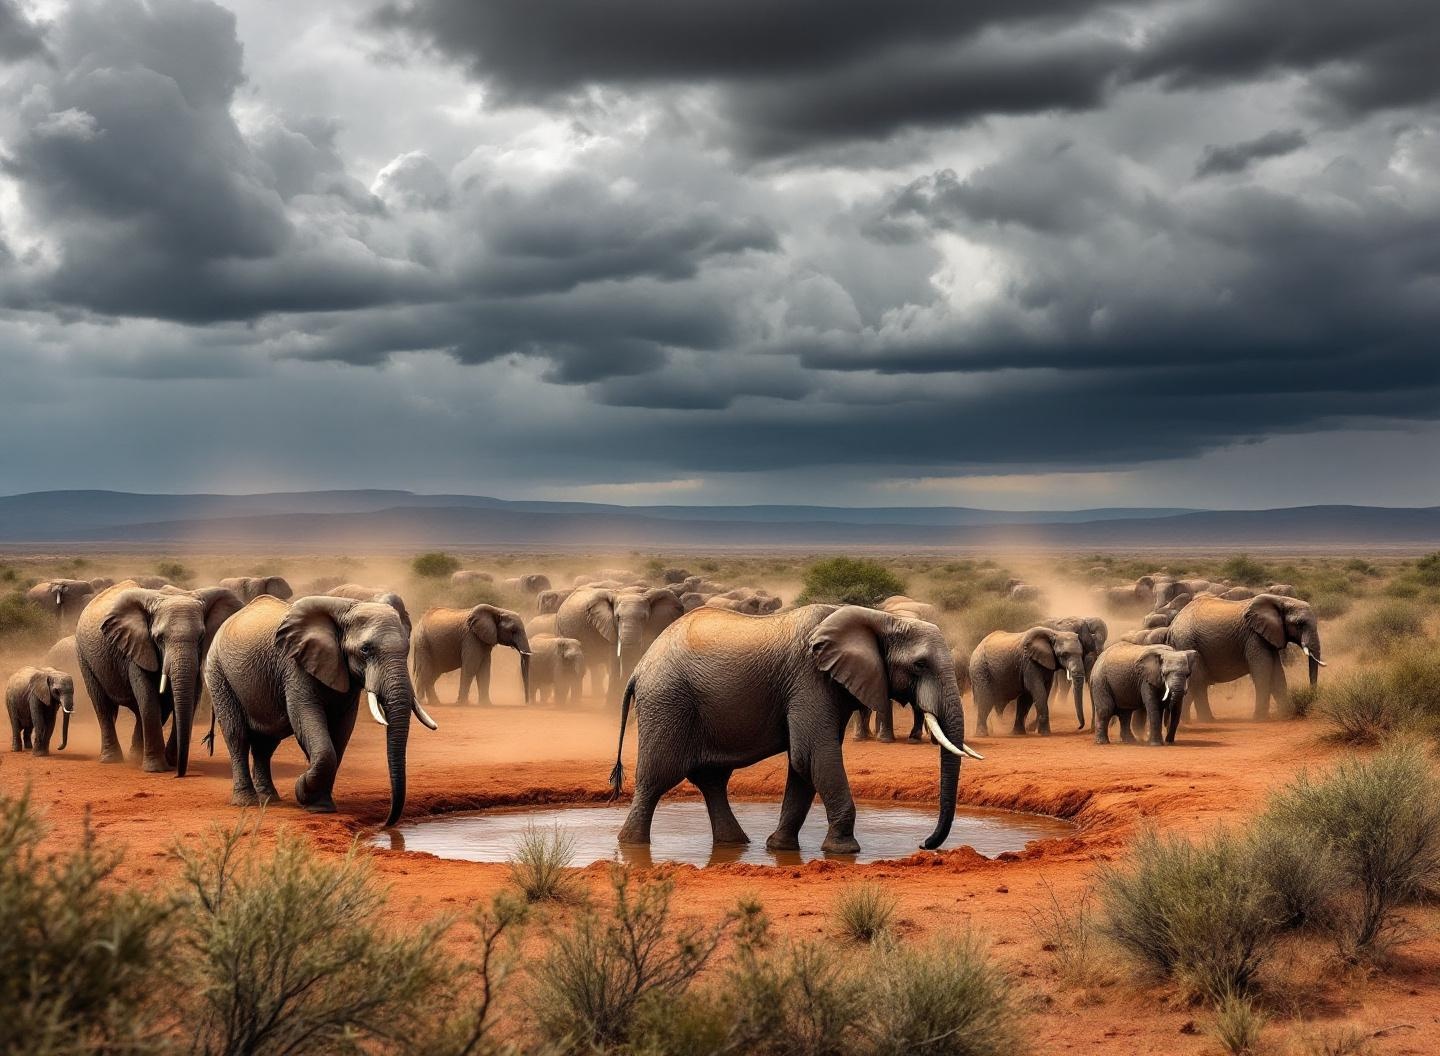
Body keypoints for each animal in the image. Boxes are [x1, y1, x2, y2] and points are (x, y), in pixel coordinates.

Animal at [74, 581, 242, 774]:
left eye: (201, 637)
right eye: (159, 638)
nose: (180, 773)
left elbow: (187, 698)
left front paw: (169, 762)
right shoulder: (137, 648)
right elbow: (148, 697)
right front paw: (156, 769)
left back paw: (135, 757)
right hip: (84, 657)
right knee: (103, 706)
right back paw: (112, 759)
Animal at [204, 596, 431, 824]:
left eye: (407, 649)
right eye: (365, 649)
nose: (385, 823)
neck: (346, 608)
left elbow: (341, 732)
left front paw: (319, 803)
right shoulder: (295, 666)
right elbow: (307, 720)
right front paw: (303, 792)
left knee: (266, 743)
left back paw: (270, 798)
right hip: (217, 673)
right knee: (237, 736)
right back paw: (246, 802)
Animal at [555, 586, 685, 703]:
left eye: (644, 618)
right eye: (617, 618)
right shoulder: (610, 628)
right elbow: (614, 662)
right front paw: (610, 710)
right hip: (561, 630)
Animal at [609, 604, 982, 855]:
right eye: (919, 665)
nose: (923, 844)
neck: (879, 618)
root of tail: (639, 668)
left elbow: (803, 766)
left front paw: (780, 848)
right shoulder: (810, 679)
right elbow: (813, 756)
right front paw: (844, 851)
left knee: (712, 781)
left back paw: (736, 844)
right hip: (667, 701)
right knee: (657, 778)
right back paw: (631, 846)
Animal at [1166, 593, 1324, 722]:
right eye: (1299, 624)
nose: (1312, 697)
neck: (1281, 599)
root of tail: (1172, 625)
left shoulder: (1268, 636)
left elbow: (1277, 674)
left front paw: (1286, 715)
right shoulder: (1254, 636)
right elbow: (1262, 672)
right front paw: (1259, 719)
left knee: (1194, 682)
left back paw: (1186, 721)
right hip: (1187, 641)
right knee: (1198, 681)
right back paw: (1207, 721)